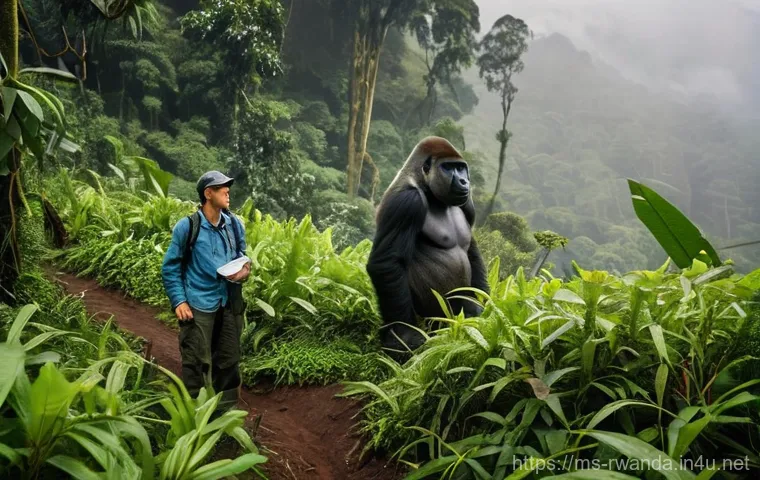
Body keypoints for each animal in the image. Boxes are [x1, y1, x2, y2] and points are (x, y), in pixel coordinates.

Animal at [366, 136, 490, 363]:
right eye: (448, 167)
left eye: (461, 168)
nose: (464, 181)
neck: (423, 183)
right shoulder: (406, 202)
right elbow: (387, 261)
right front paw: (403, 335)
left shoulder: (467, 204)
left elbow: (472, 251)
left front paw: (485, 302)